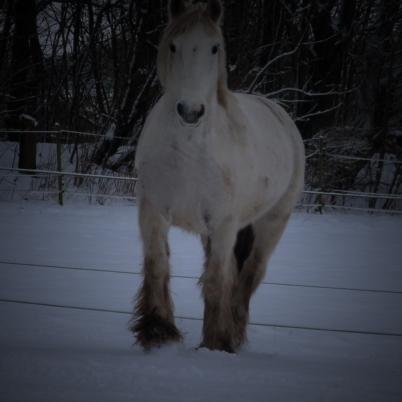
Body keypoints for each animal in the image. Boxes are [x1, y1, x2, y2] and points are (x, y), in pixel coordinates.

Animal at [132, 0, 304, 352]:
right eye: (174, 45)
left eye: (214, 47)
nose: (191, 111)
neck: (187, 150)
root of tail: (280, 114)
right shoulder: (152, 211)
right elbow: (157, 265)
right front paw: (157, 330)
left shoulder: (224, 223)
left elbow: (215, 281)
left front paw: (215, 344)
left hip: (271, 223)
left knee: (249, 275)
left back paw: (234, 333)